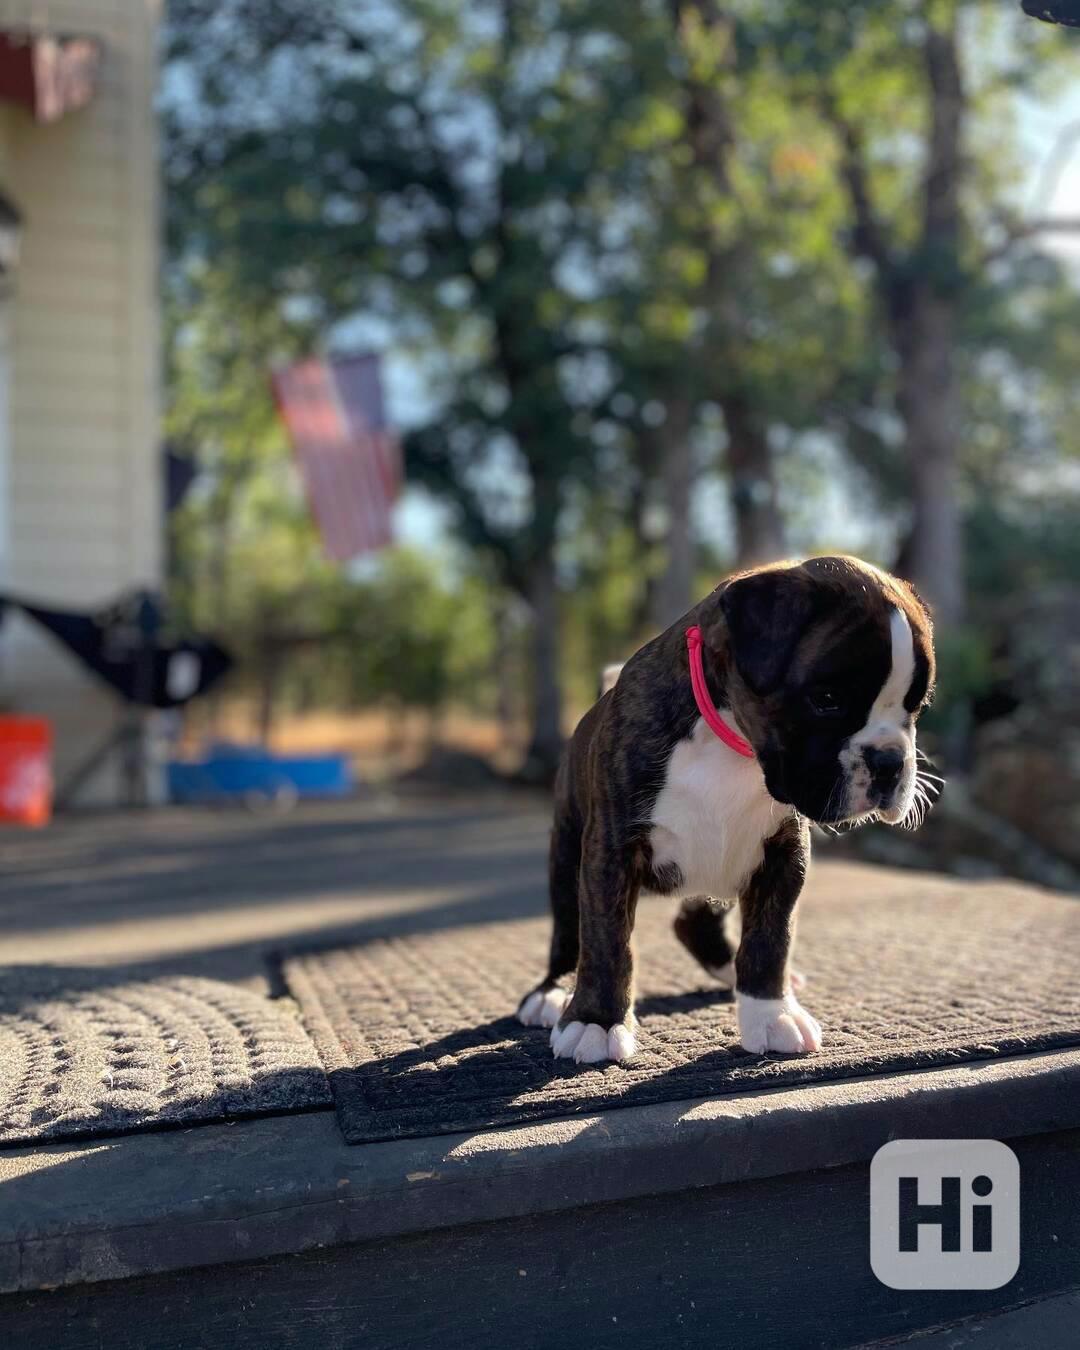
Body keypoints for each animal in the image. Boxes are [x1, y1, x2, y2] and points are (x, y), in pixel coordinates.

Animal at [515, 558, 934, 1063]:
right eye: (827, 699)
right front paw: (596, 1020)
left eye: (917, 706)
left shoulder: (782, 856)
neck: (732, 743)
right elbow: (605, 938)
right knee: (568, 931)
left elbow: (771, 938)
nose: (890, 761)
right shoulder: (610, 851)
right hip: (567, 850)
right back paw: (553, 991)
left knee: (694, 920)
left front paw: (771, 1013)